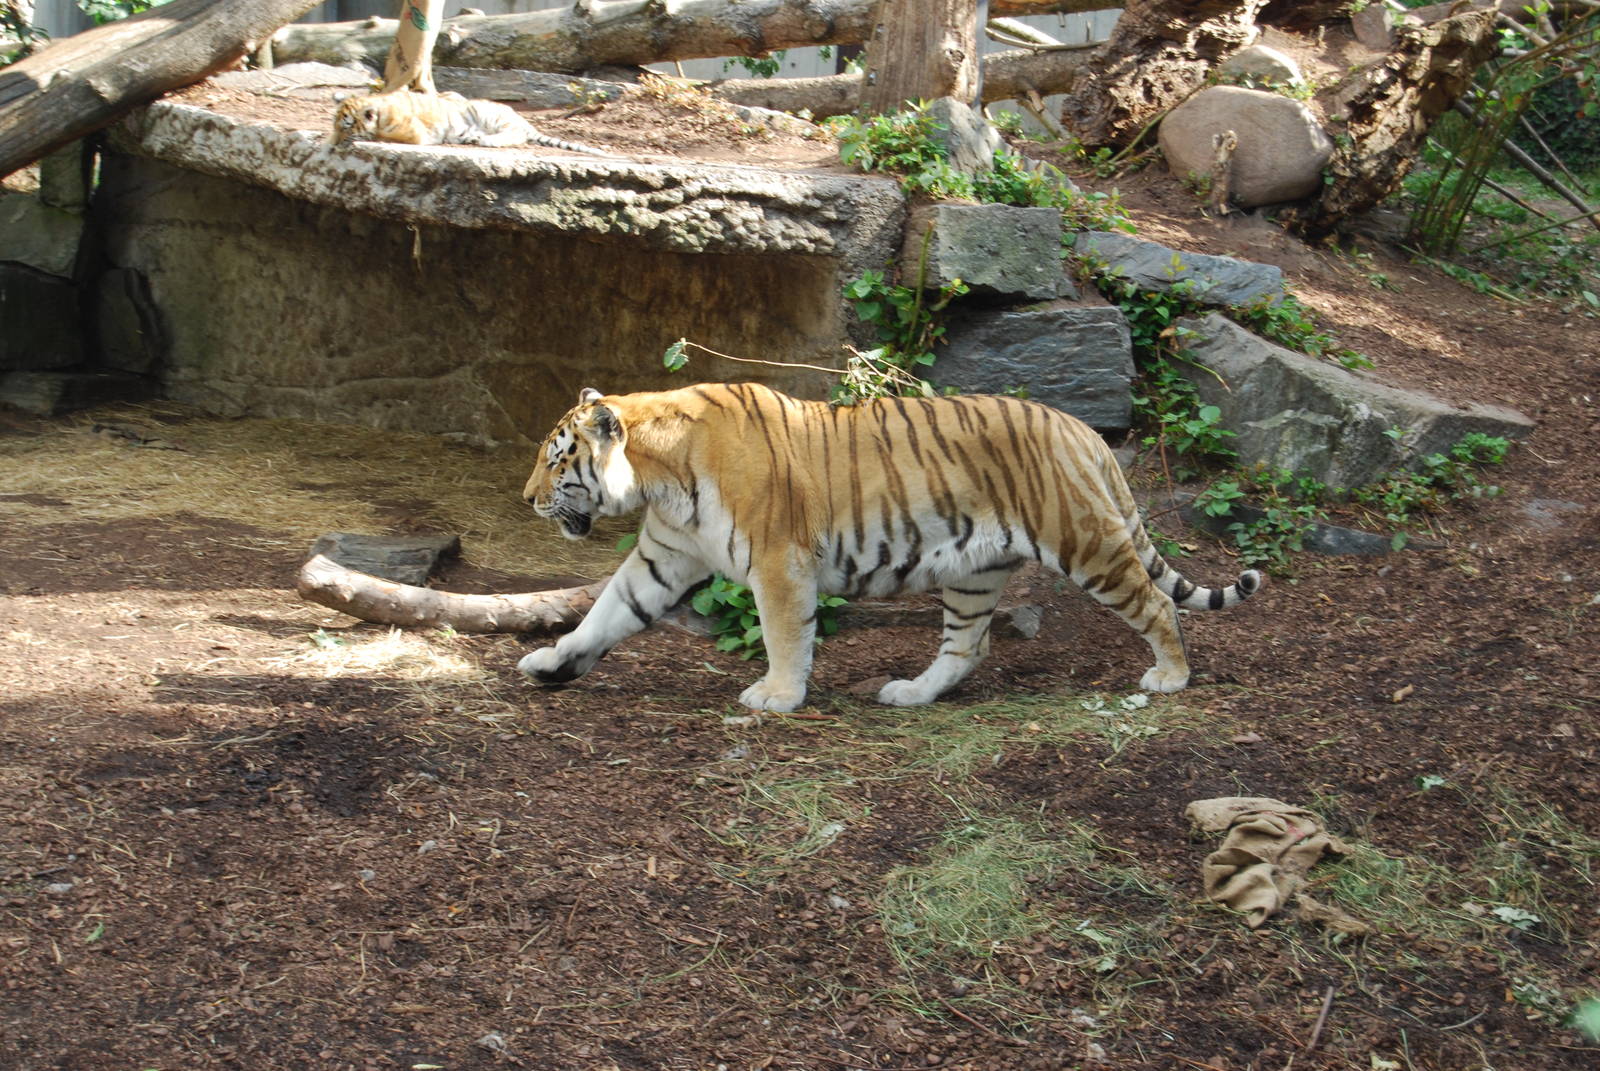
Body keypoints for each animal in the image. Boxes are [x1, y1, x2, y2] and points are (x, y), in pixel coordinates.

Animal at [518, 384, 1262, 713]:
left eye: (556, 462)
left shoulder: (777, 561)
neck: (659, 476)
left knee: (1159, 607)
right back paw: (910, 692)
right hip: (973, 572)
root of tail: (1082, 429)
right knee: (967, 648)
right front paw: (554, 663)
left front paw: (777, 695)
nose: (526, 499)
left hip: (1086, 543)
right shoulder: (665, 555)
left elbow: (784, 633)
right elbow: (607, 612)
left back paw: (1170, 676)